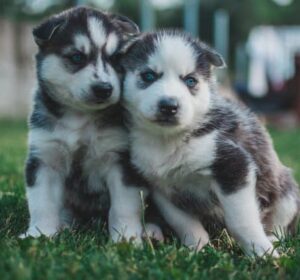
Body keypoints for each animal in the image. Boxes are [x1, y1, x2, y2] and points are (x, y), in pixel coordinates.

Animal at [21, 6, 148, 243]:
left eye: (115, 58)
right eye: (77, 57)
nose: (104, 89)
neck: (79, 117)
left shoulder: (120, 160)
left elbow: (123, 207)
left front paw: (125, 238)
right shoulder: (45, 157)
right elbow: (42, 204)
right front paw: (39, 234)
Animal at [119, 30, 300, 256]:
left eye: (190, 81)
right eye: (148, 76)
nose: (169, 106)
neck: (168, 140)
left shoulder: (234, 165)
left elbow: (241, 221)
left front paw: (261, 252)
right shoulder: (162, 187)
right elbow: (183, 222)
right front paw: (196, 248)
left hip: (287, 192)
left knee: (281, 224)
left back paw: (273, 239)